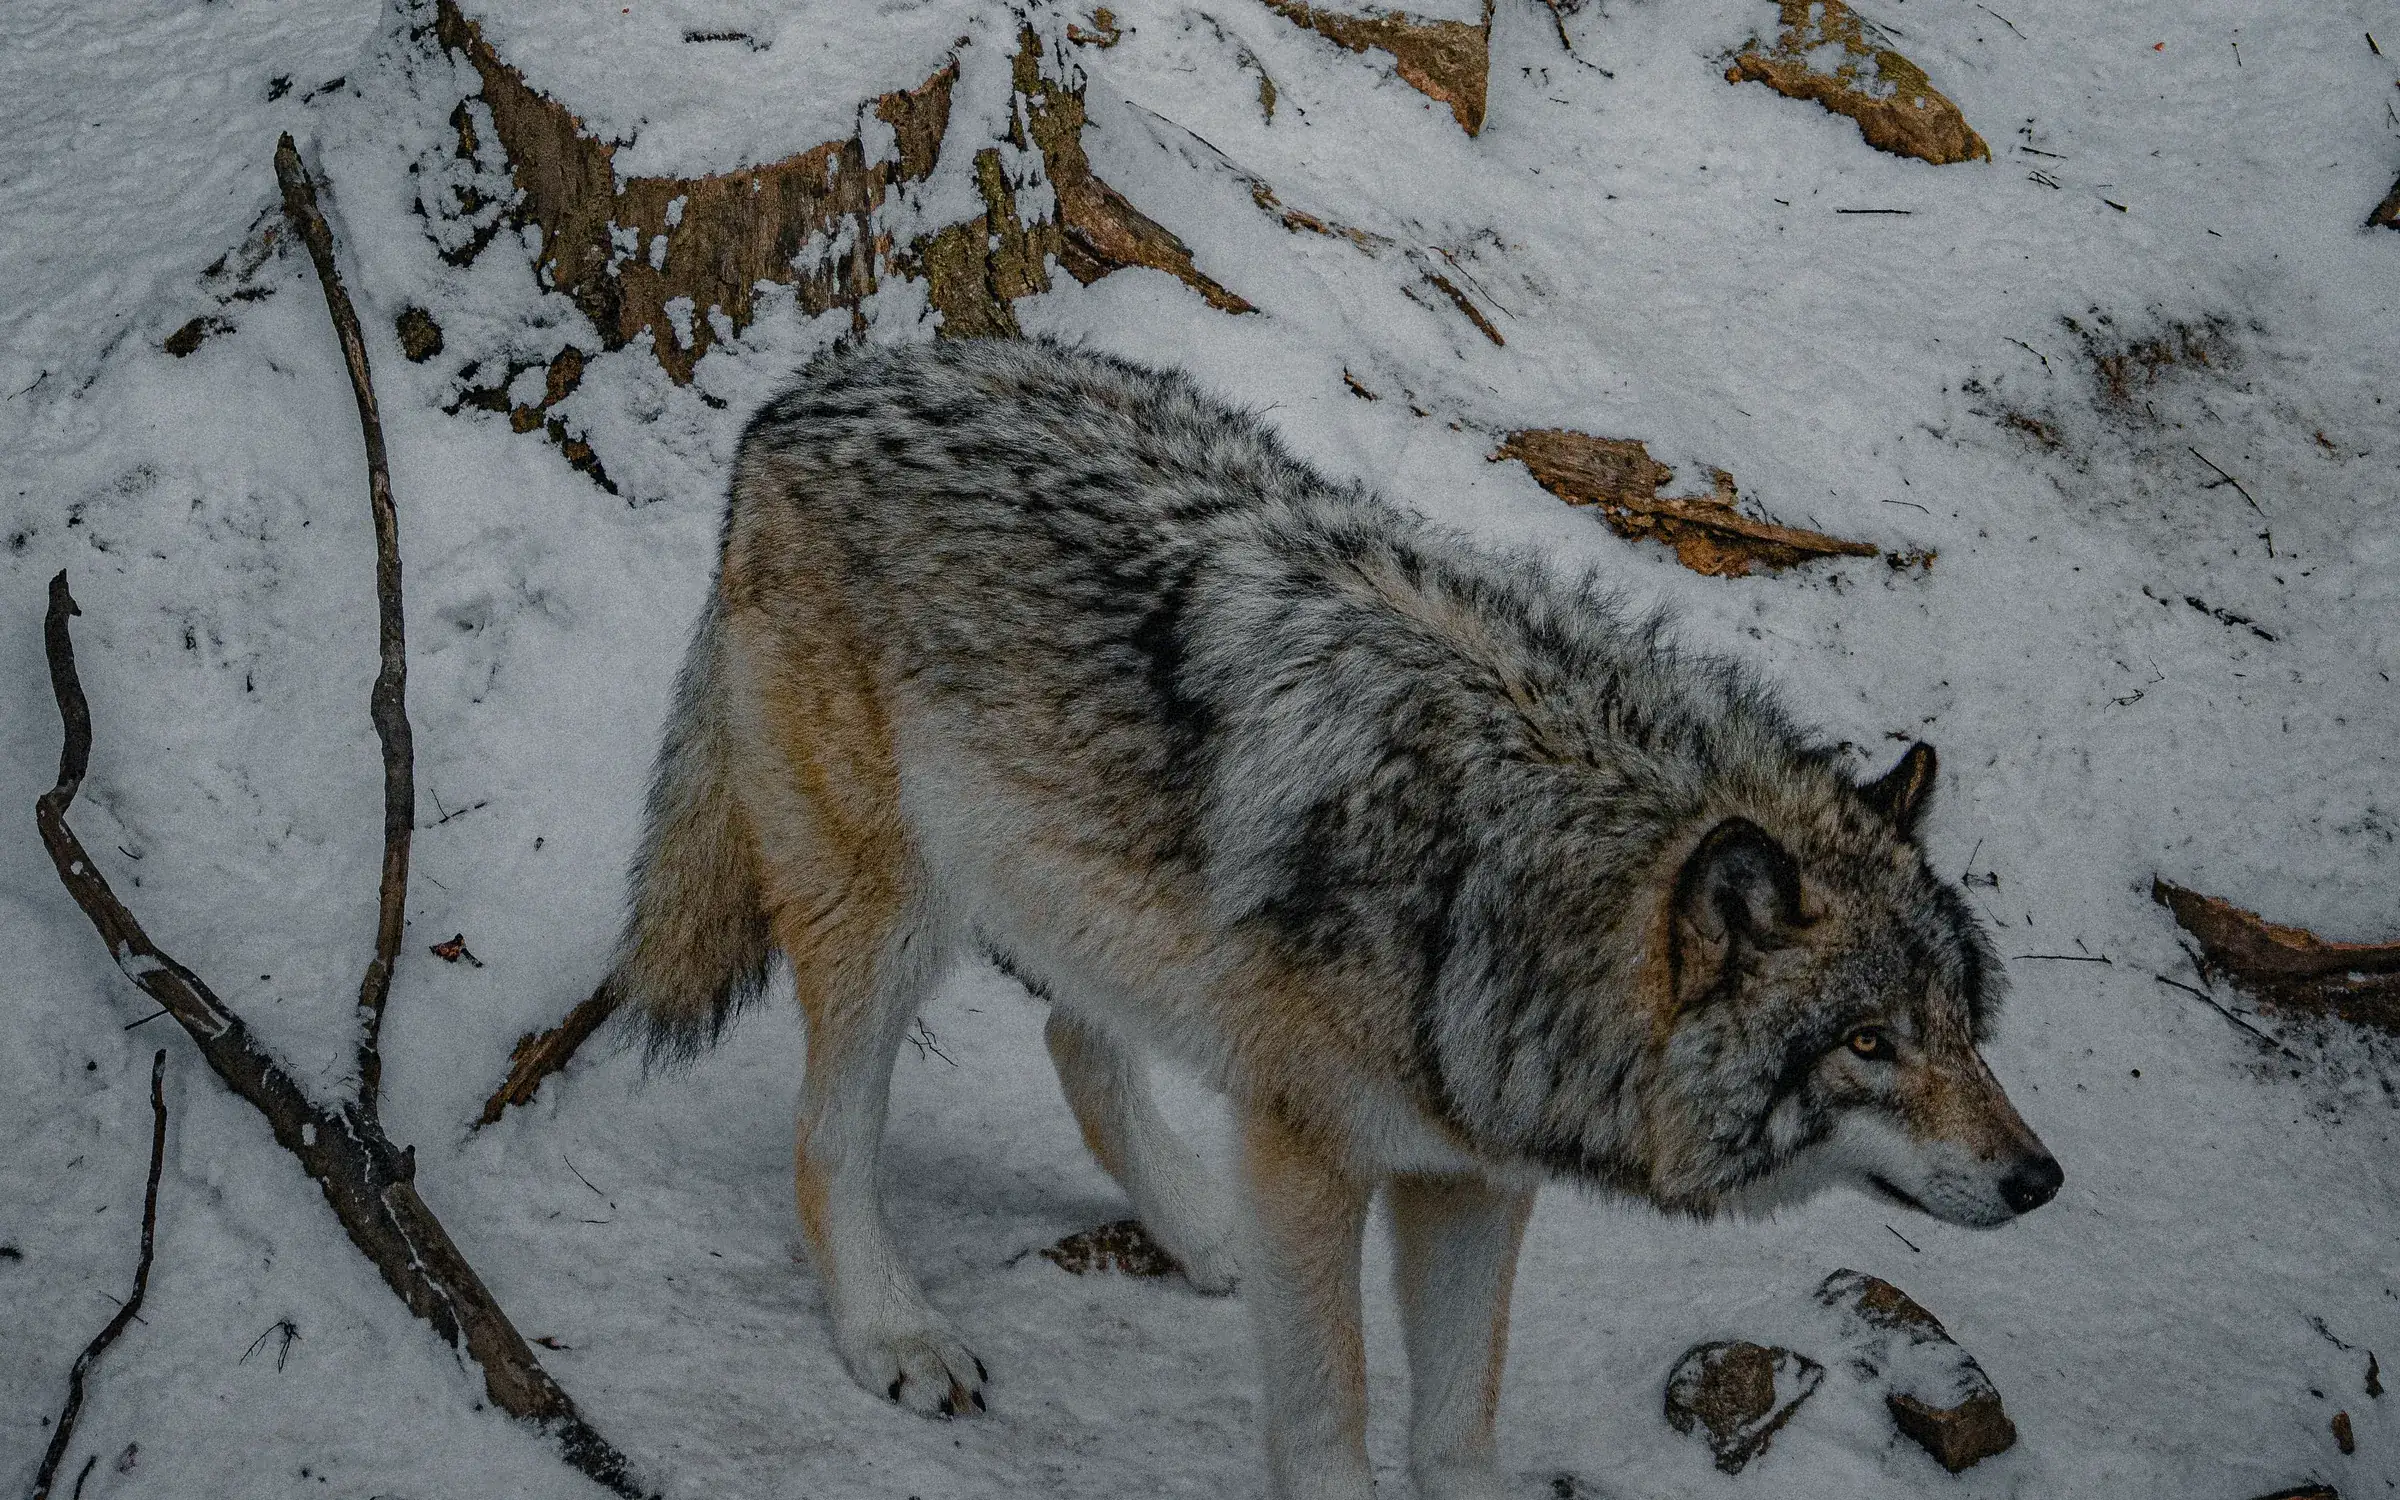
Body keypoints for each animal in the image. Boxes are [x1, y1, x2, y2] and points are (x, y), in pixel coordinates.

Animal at [604, 337, 2060, 1499]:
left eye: (1963, 1027)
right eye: (1866, 1045)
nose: (2038, 1179)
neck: (1498, 875)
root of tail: (814, 381)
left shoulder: (1473, 1178)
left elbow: (1459, 1431)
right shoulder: (1313, 1159)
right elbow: (1329, 1427)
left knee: (1080, 1049)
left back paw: (1201, 1235)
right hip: (894, 913)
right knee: (829, 1136)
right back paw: (895, 1334)